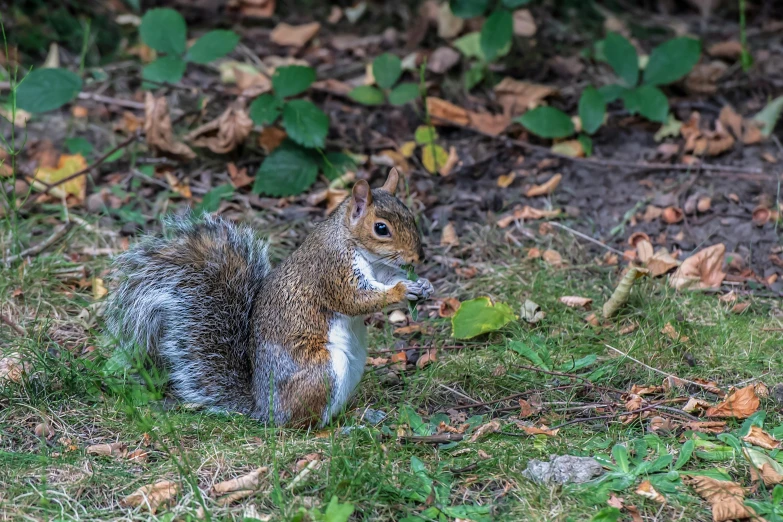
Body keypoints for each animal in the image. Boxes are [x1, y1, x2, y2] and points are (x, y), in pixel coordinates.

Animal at [102, 169, 434, 424]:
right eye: (381, 228)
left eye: (411, 216)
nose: (418, 257)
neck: (351, 241)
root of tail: (265, 409)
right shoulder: (332, 270)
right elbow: (354, 300)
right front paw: (404, 290)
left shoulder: (381, 270)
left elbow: (386, 281)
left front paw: (423, 285)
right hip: (321, 370)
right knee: (304, 424)